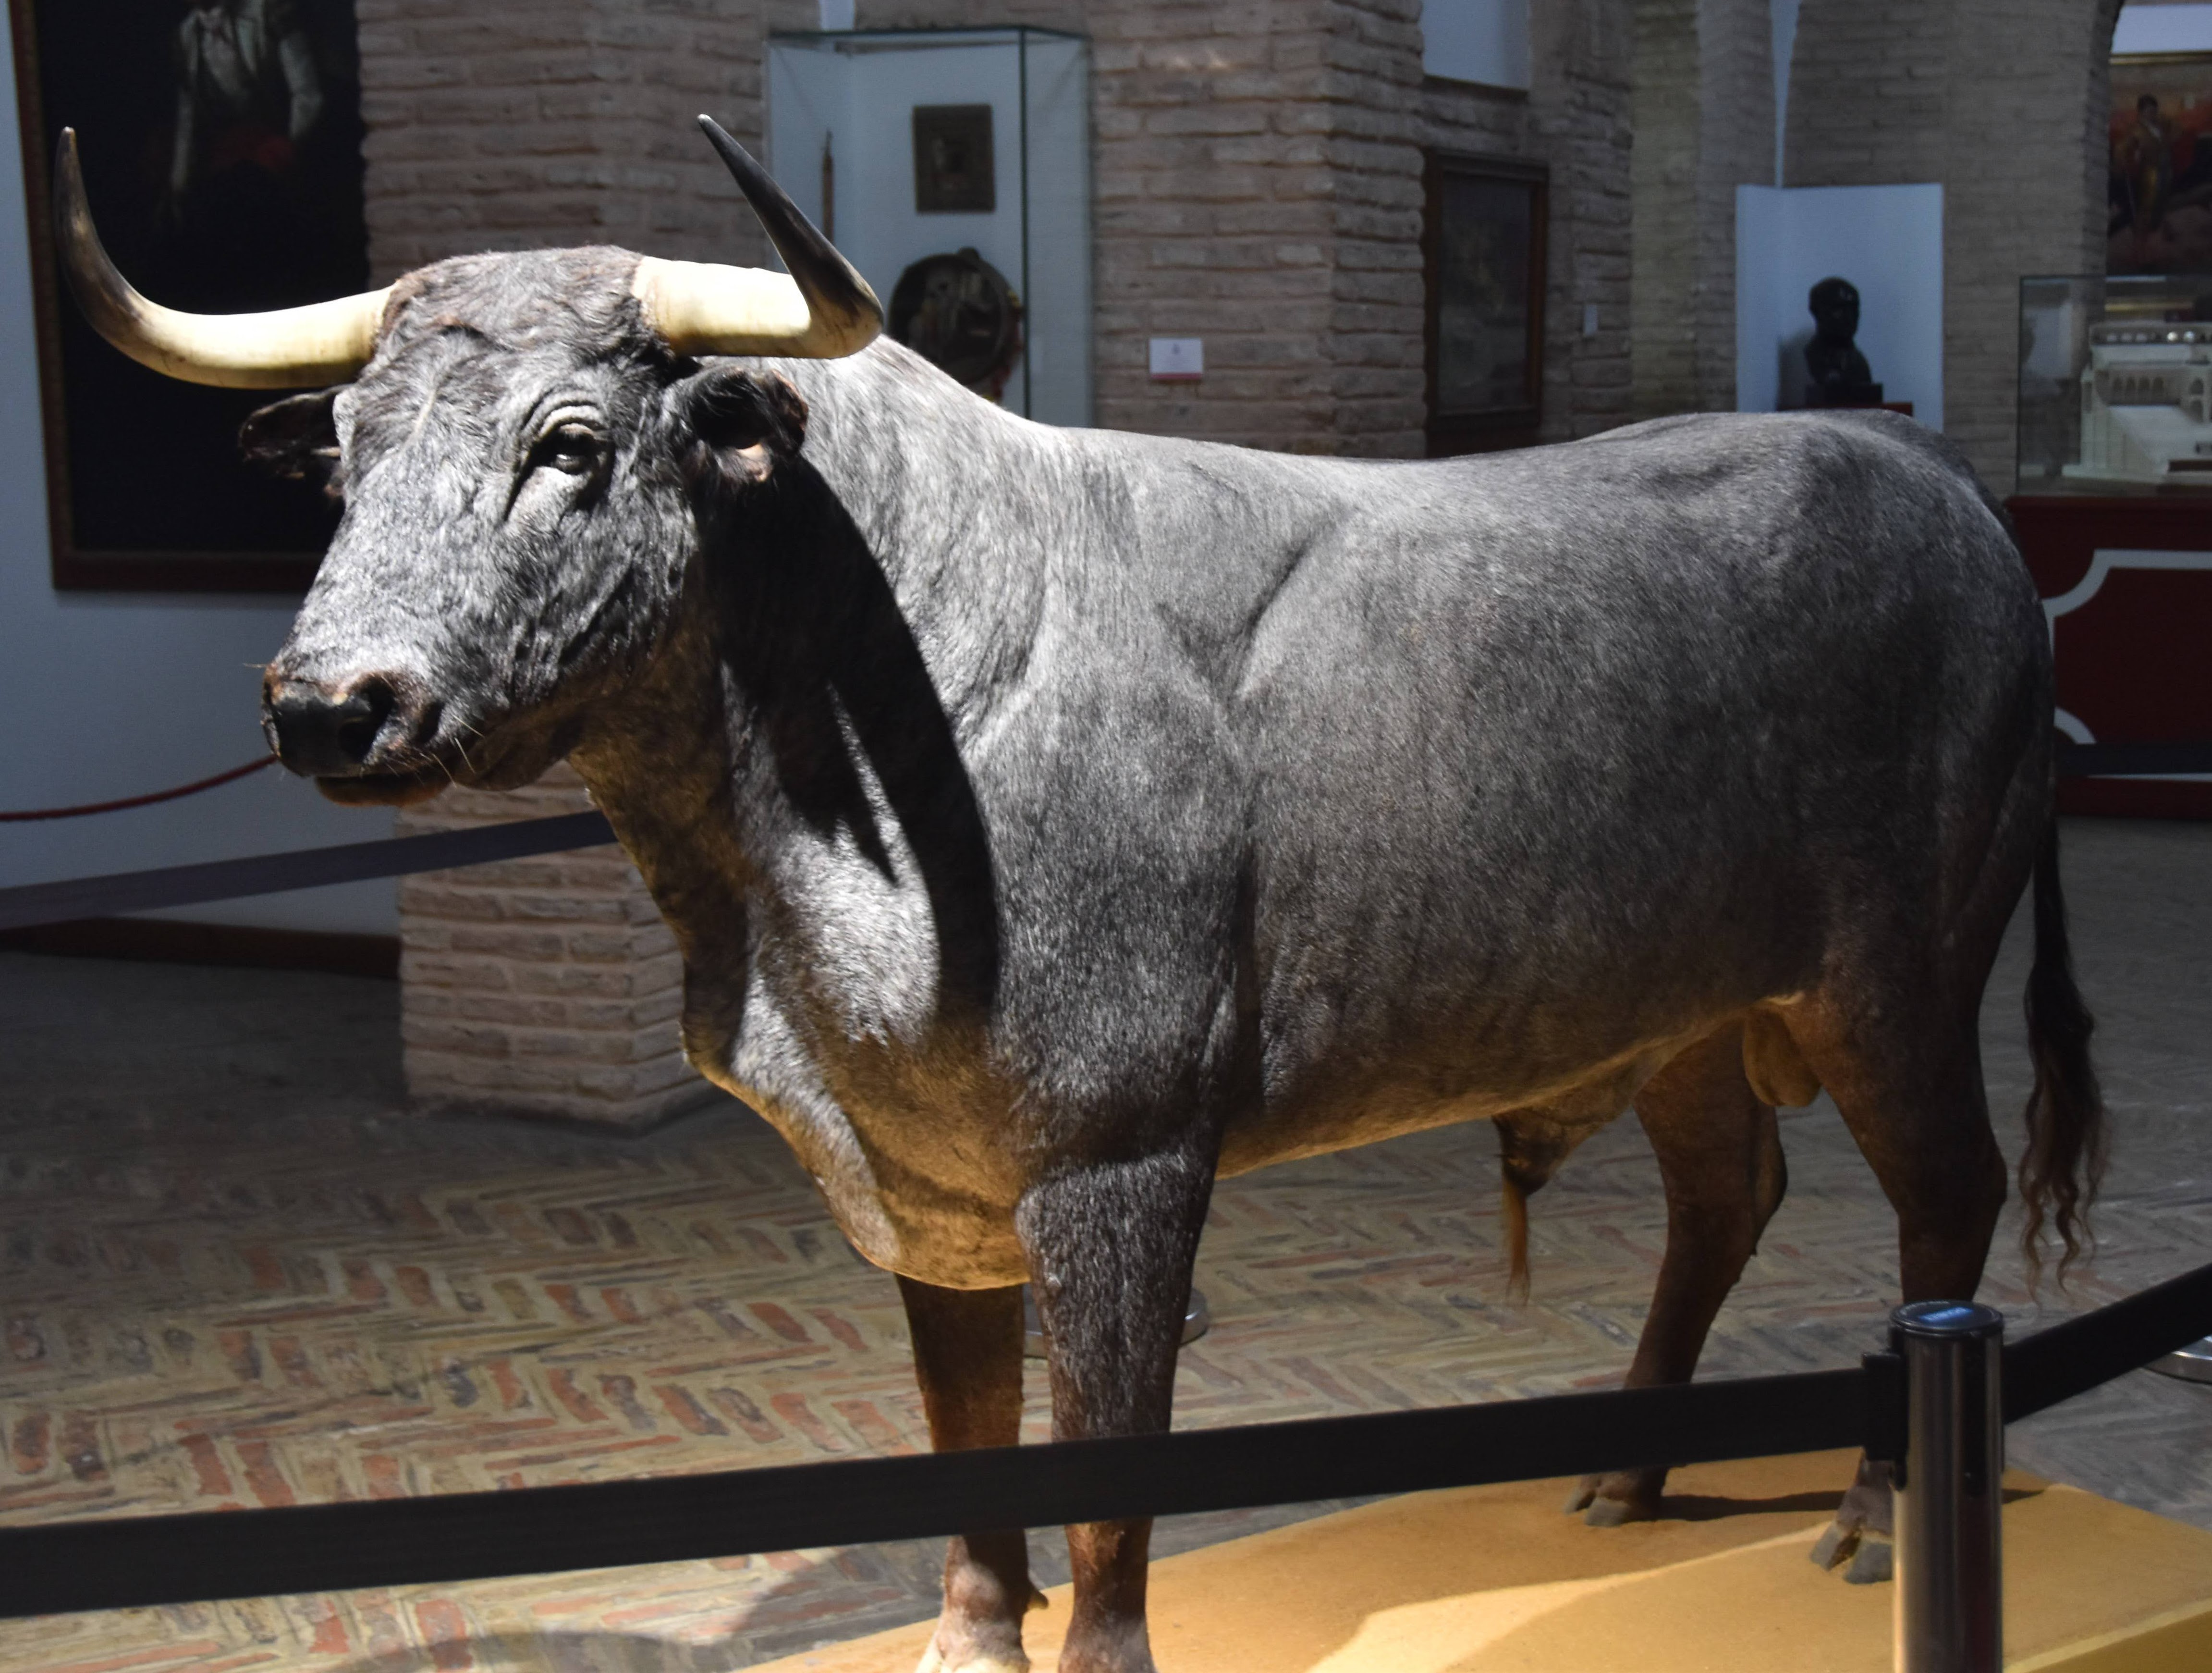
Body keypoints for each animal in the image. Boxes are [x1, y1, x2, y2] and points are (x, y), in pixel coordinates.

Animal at [58, 119, 2102, 1673]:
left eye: (569, 443)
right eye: (340, 454)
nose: (330, 701)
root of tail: (1947, 496)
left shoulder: (1123, 1160)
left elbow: (1102, 1453)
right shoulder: (928, 1174)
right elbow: (968, 1434)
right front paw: (969, 1637)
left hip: (1895, 977)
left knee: (1942, 1204)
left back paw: (1871, 1507)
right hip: (1686, 999)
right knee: (1723, 1191)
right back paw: (1623, 1472)